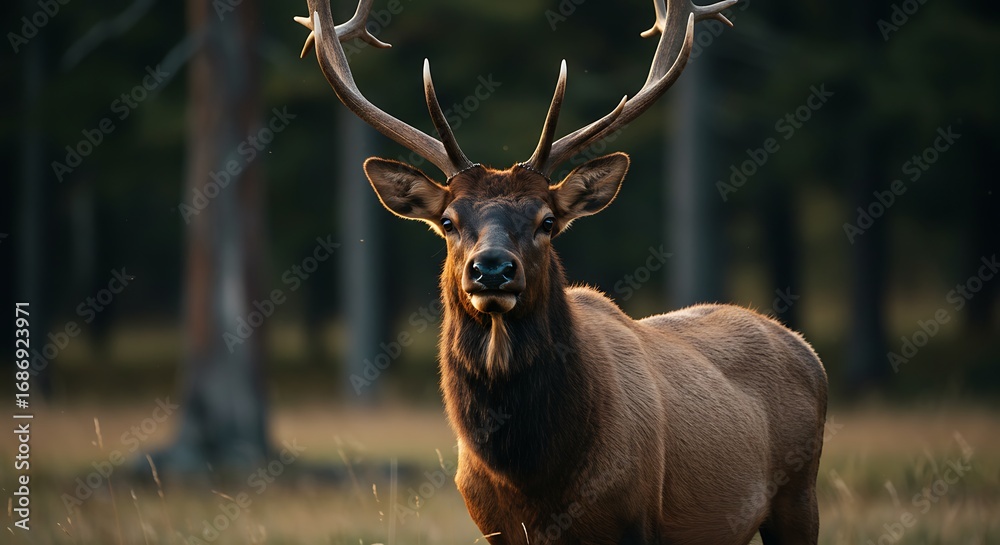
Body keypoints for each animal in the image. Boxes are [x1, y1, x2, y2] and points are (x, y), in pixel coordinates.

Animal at [295, 0, 828, 543]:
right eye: (448, 221)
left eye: (547, 221)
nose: (492, 269)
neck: (532, 476)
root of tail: (804, 348)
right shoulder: (493, 527)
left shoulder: (635, 518)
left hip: (799, 494)